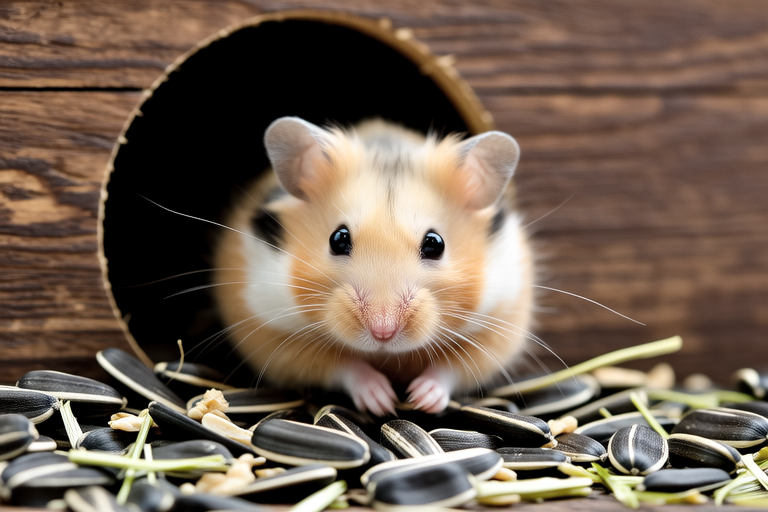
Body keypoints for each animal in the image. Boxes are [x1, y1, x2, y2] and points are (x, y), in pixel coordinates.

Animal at [212, 116, 533, 415]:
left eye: (435, 244)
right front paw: (383, 402)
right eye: (338, 239)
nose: (383, 332)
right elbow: (342, 364)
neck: (387, 355)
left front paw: (421, 398)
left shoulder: (499, 327)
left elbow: (452, 368)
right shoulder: (273, 335)